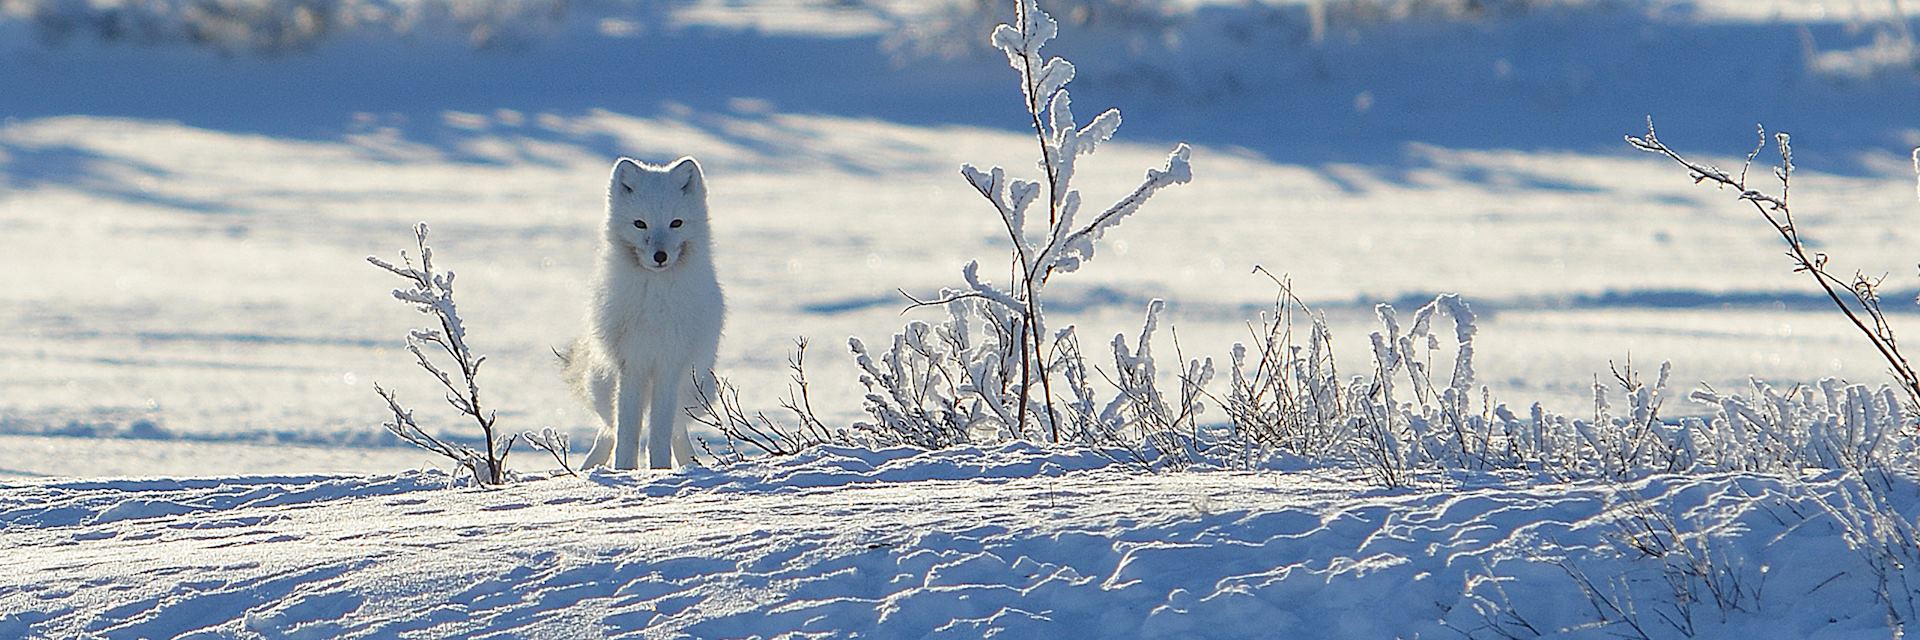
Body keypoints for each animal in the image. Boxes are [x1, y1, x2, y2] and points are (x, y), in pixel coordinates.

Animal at [568, 155, 725, 468]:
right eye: (640, 224)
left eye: (676, 223)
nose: (660, 256)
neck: (655, 295)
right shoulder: (631, 364)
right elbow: (627, 431)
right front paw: (624, 470)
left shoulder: (669, 364)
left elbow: (660, 431)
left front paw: (661, 469)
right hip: (605, 385)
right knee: (609, 429)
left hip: (694, 389)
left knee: (676, 428)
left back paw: (689, 464)